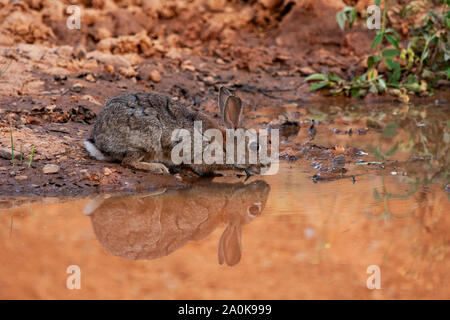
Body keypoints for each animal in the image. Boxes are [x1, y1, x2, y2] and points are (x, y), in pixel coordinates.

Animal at [83, 86, 268, 176]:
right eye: (256, 146)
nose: (267, 165)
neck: (223, 146)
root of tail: (100, 141)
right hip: (148, 138)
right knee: (128, 161)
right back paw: (158, 168)